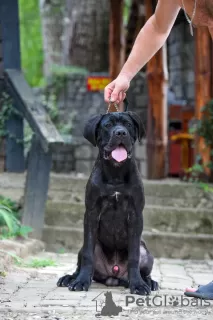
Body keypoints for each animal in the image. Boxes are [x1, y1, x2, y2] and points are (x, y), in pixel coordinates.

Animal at [57, 110, 159, 296]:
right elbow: (88, 255)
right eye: (108, 125)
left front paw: (138, 285)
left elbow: (134, 256)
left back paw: (149, 281)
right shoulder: (91, 213)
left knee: (143, 266)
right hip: (84, 249)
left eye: (128, 124)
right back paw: (70, 278)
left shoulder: (135, 215)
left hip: (146, 253)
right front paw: (81, 281)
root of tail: (114, 275)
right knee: (83, 260)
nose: (120, 133)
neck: (115, 173)